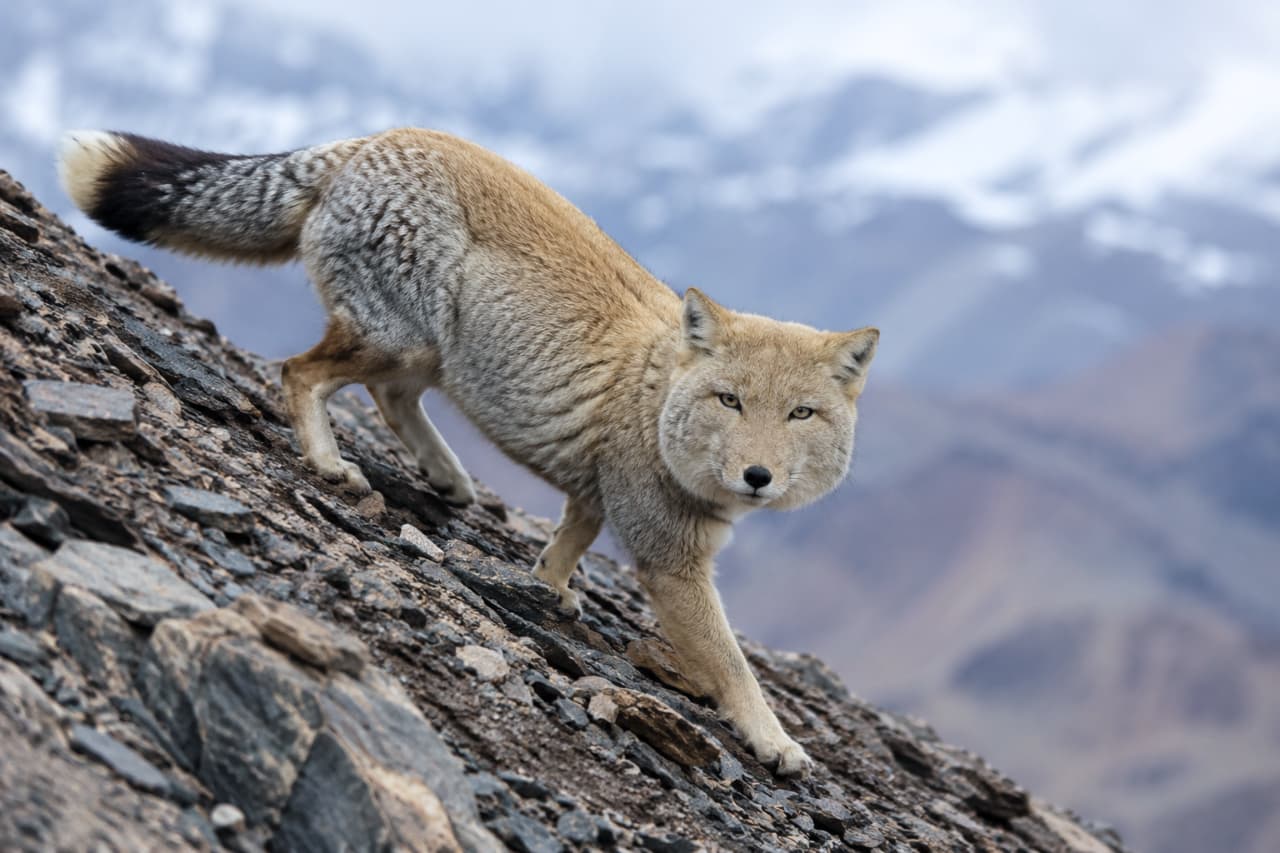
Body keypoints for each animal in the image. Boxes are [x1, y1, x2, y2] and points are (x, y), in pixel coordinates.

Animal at [58, 128, 877, 775]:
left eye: (800, 414)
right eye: (731, 402)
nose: (758, 475)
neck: (654, 399)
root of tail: (371, 138)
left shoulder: (598, 492)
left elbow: (571, 533)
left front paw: (548, 585)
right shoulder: (670, 562)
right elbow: (737, 670)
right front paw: (776, 742)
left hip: (425, 356)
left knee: (388, 398)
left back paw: (447, 477)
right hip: (399, 340)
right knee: (299, 372)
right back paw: (329, 462)